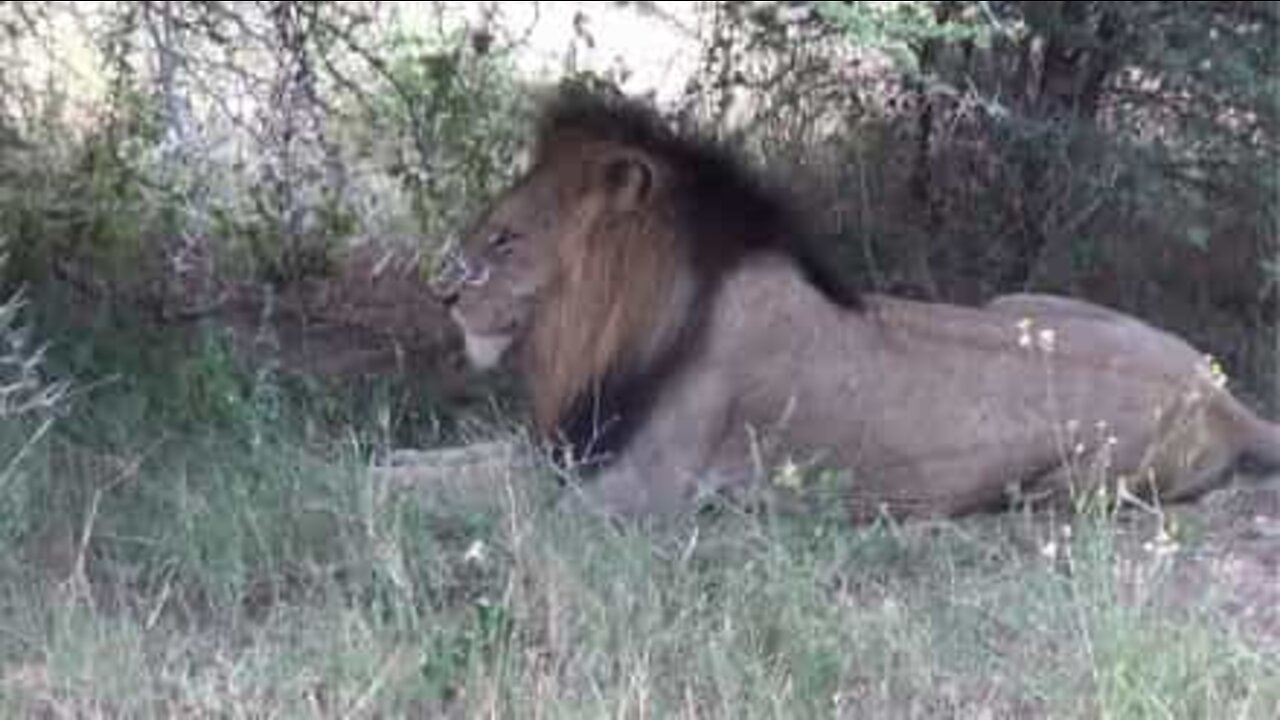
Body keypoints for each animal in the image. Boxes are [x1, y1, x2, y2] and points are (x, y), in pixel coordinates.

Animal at [432, 87, 1280, 517]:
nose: (440, 292)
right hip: (1019, 298)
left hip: (1069, 485)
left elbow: (461, 487)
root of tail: (1222, 396)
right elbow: (440, 460)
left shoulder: (626, 492)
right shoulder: (568, 448)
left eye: (505, 239)